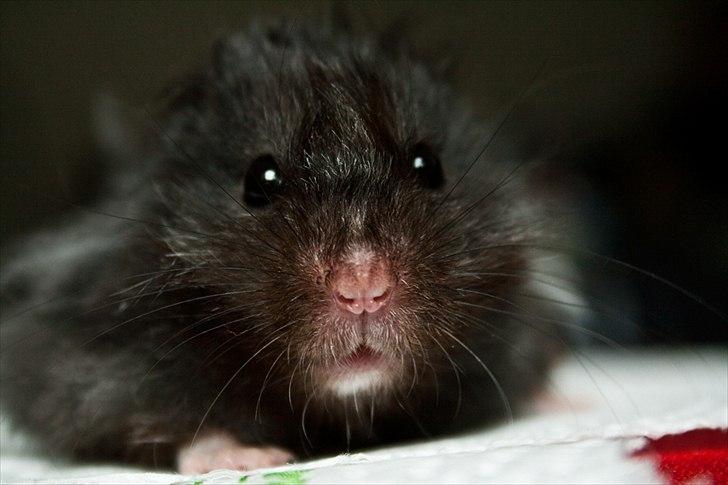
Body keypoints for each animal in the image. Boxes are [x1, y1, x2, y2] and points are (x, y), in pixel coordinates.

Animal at [0, 19, 580, 473]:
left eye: (428, 165)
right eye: (260, 180)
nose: (363, 290)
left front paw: (563, 400)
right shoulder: (90, 365)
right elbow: (167, 418)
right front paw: (251, 458)